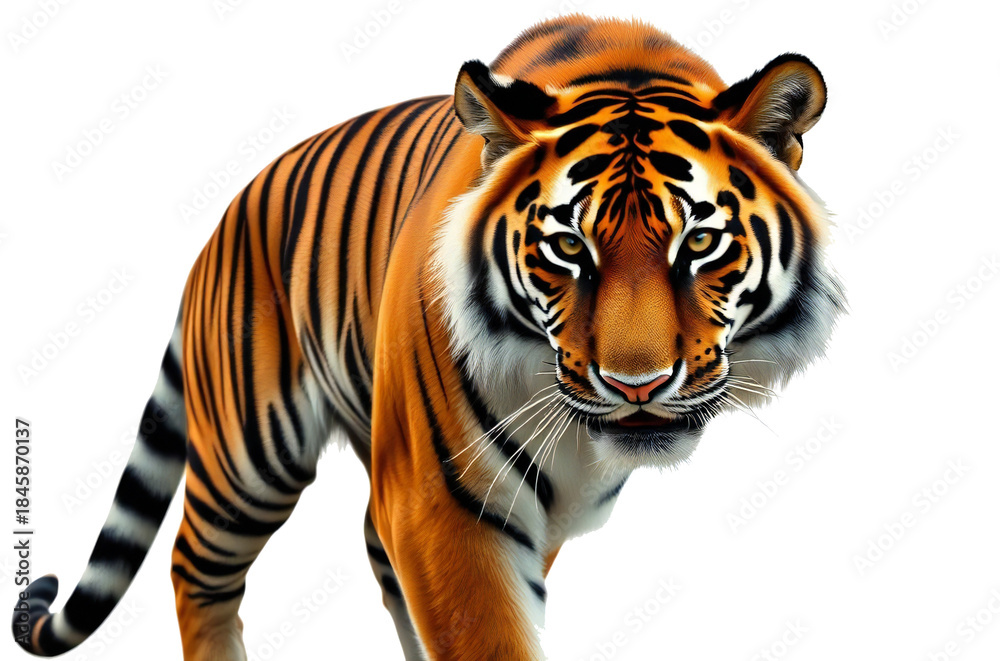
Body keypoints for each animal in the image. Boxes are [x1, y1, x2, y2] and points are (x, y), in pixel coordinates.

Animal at [11, 14, 845, 661]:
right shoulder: (447, 505)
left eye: (699, 243)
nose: (635, 385)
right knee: (196, 567)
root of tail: (222, 223)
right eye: (567, 247)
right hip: (252, 452)